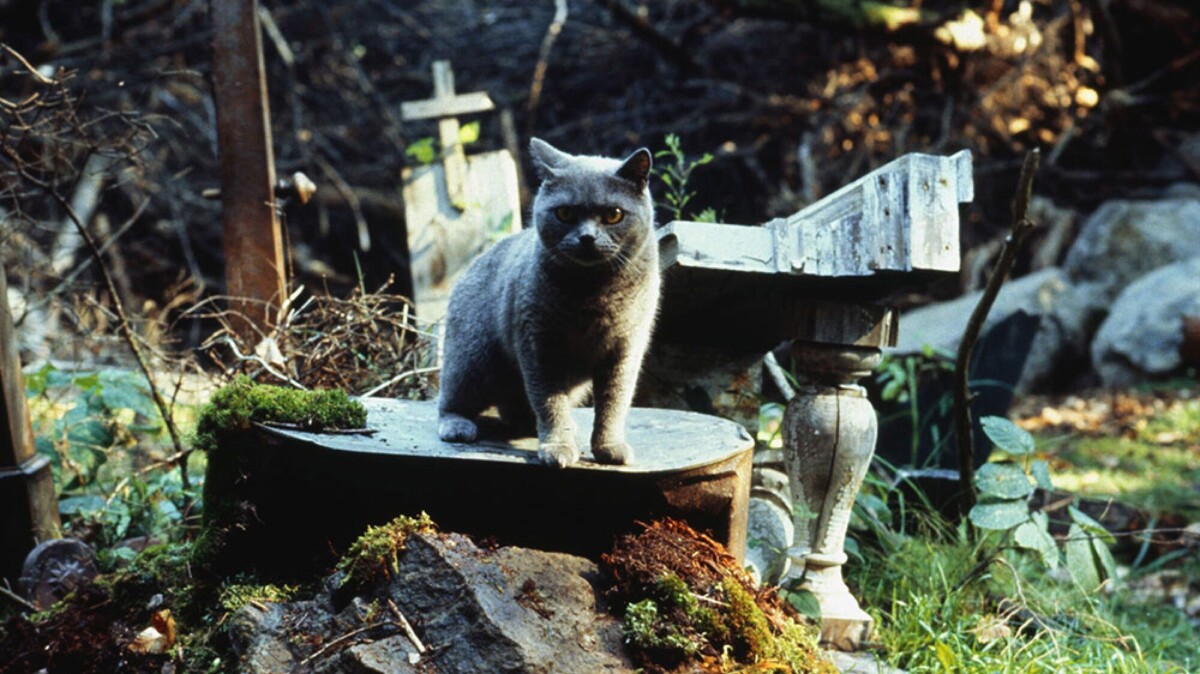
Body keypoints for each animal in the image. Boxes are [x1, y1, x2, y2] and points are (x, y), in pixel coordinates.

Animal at [434, 138, 657, 465]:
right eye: (564, 213)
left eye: (614, 214)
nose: (587, 237)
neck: (593, 294)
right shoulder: (539, 345)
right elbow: (550, 402)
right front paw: (558, 447)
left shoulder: (625, 350)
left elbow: (613, 403)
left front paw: (609, 447)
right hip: (472, 360)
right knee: (450, 399)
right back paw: (458, 425)